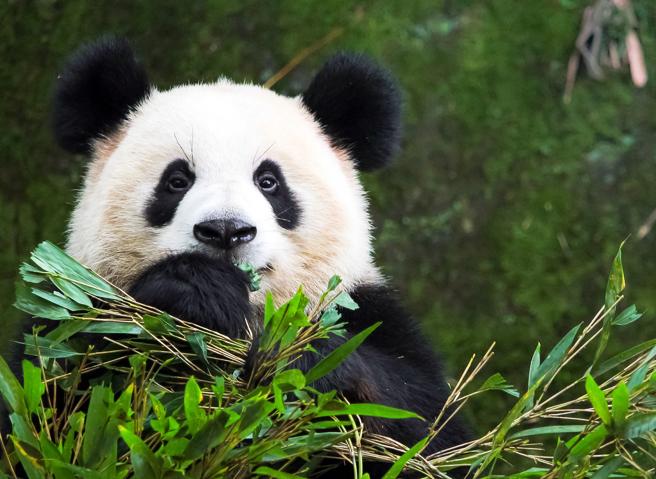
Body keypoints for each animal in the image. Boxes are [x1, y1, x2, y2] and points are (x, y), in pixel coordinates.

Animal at [31, 37, 469, 473]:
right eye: (177, 180)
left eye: (269, 181)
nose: (226, 229)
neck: (251, 312)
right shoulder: (72, 309)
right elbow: (65, 409)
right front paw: (196, 292)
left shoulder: (366, 311)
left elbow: (426, 433)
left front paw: (295, 361)